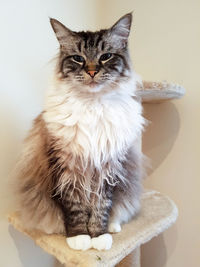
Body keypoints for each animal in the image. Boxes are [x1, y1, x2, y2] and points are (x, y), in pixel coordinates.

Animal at [15, 12, 145, 251]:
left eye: (106, 56)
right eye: (77, 58)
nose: (92, 71)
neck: (91, 105)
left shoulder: (107, 168)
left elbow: (101, 208)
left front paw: (98, 236)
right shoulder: (66, 168)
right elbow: (74, 209)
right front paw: (79, 238)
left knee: (118, 211)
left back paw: (113, 227)